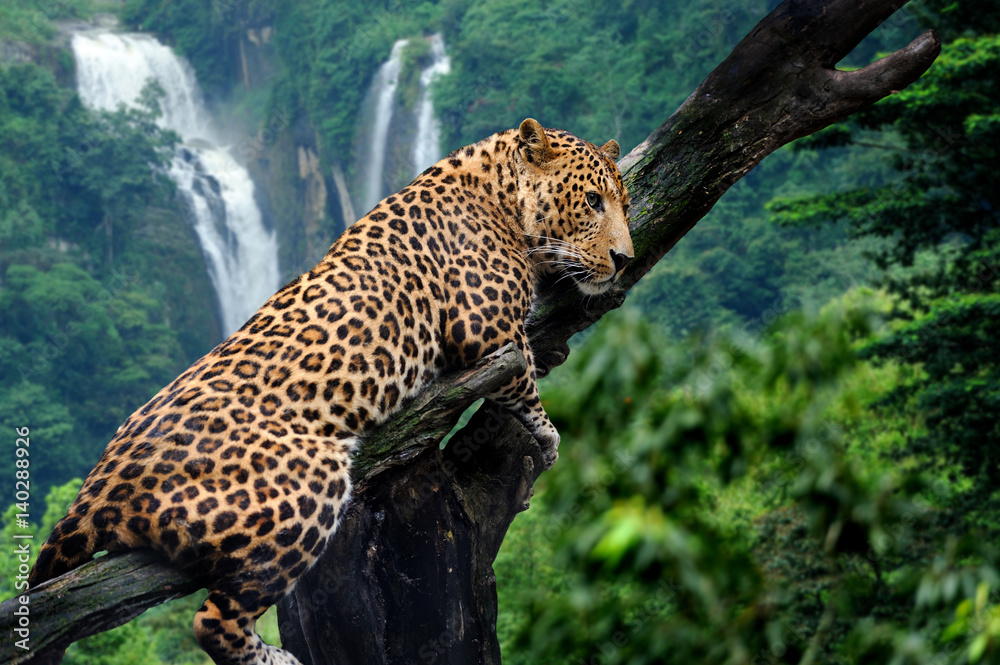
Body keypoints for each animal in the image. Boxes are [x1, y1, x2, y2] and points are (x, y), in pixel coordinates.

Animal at [28, 118, 633, 665]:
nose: (625, 259)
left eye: (625, 204)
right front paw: (548, 434)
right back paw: (276, 659)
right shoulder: (484, 329)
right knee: (214, 619)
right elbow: (523, 377)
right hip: (307, 481)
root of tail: (97, 484)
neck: (500, 195)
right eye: (593, 201)